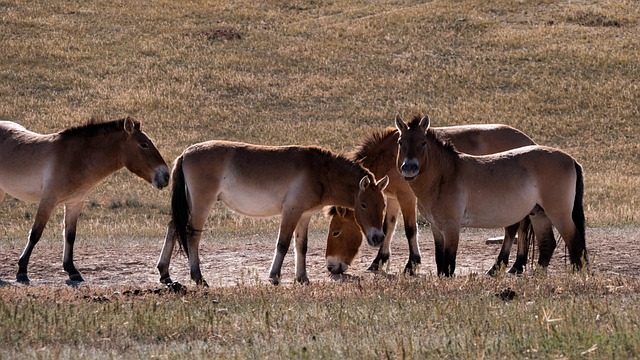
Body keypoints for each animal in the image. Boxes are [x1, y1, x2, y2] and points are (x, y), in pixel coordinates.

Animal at [0, 118, 170, 284]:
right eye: (144, 145)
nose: (166, 175)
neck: (76, 158)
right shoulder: (48, 201)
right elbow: (35, 234)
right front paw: (22, 270)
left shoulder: (75, 203)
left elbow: (70, 236)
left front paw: (72, 271)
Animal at [157, 139, 388, 286]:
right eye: (364, 205)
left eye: (383, 205)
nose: (378, 237)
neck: (320, 171)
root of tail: (185, 154)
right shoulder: (291, 212)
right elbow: (283, 244)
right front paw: (274, 276)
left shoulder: (304, 216)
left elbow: (301, 246)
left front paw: (302, 278)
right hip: (201, 204)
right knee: (192, 236)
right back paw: (198, 278)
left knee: (173, 228)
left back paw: (164, 273)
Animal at [324, 123, 540, 276]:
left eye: (336, 232)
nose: (332, 267)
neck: (391, 155)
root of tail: (530, 142)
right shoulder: (391, 198)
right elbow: (388, 227)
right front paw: (379, 261)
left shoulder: (407, 198)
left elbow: (410, 230)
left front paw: (412, 264)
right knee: (521, 228)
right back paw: (517, 265)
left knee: (514, 228)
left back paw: (501, 266)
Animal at [396, 113, 584, 276]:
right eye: (400, 142)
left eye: (423, 142)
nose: (409, 168)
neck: (447, 174)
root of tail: (571, 160)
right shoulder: (436, 228)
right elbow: (440, 261)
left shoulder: (451, 227)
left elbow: (449, 264)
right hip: (539, 214)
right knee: (547, 245)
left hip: (558, 214)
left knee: (574, 241)